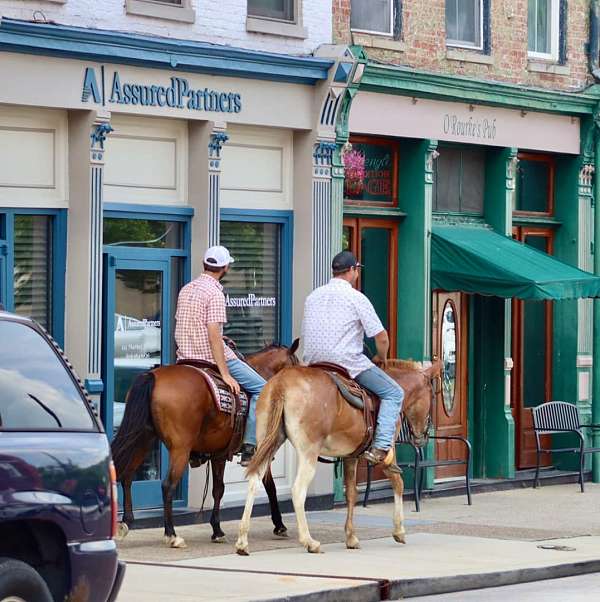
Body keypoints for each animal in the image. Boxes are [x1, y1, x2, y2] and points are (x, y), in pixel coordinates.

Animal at [111, 340, 298, 548]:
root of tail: (152, 375)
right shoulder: (258, 451)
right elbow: (268, 486)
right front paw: (279, 525)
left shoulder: (218, 454)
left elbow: (218, 489)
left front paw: (217, 530)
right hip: (179, 449)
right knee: (167, 485)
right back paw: (171, 534)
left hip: (143, 439)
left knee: (127, 476)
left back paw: (126, 522)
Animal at [236, 356, 440, 552]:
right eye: (432, 395)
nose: (424, 435)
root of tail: (281, 384)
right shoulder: (387, 451)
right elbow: (398, 483)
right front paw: (399, 530)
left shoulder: (351, 455)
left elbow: (351, 493)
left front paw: (351, 537)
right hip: (308, 453)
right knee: (298, 490)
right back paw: (309, 541)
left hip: (267, 443)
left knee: (254, 481)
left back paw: (243, 541)